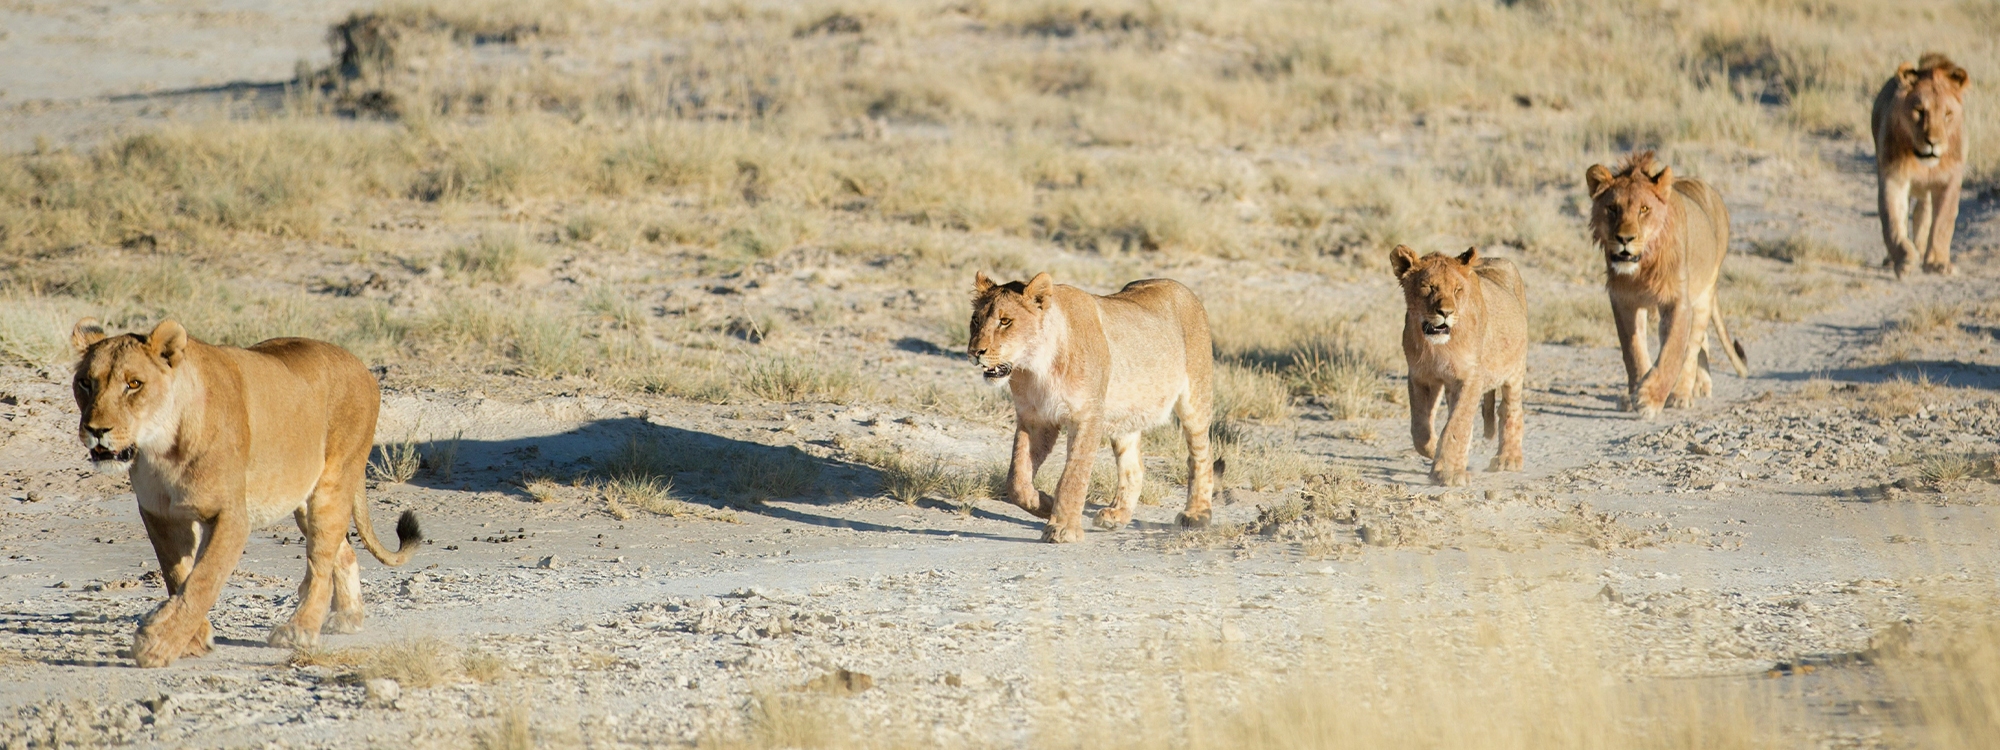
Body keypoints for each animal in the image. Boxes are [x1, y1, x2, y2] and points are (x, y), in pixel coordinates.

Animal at [69, 318, 422, 668]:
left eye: (134, 384)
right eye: (85, 383)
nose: (96, 430)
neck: (161, 449)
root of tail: (362, 367)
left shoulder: (231, 516)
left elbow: (203, 580)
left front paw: (158, 643)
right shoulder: (160, 515)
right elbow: (177, 576)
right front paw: (194, 638)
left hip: (333, 484)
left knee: (320, 565)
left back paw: (299, 630)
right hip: (302, 501)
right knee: (344, 552)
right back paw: (348, 616)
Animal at [968, 274, 1216, 544]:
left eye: (1005, 321)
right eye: (976, 320)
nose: (974, 352)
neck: (1036, 367)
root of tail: (1179, 285)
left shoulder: (1087, 416)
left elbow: (1073, 474)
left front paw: (1063, 528)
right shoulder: (1035, 419)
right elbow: (1017, 480)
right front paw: (1046, 503)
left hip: (1196, 398)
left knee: (1202, 456)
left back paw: (1197, 515)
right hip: (1125, 415)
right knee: (1135, 467)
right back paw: (1117, 515)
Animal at [1392, 244, 1528, 484]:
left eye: (1457, 290)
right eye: (1428, 287)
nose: (1446, 312)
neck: (1437, 346)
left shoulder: (1471, 377)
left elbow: (1457, 424)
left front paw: (1449, 472)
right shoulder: (1421, 376)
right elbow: (1420, 429)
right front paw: (1435, 451)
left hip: (1515, 369)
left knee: (1510, 409)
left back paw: (1508, 459)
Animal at [1584, 151, 1744, 424]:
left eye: (1644, 209)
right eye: (1612, 208)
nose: (1624, 239)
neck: (1642, 268)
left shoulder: (1677, 300)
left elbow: (1673, 351)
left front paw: (1649, 399)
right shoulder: (1624, 300)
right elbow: (1634, 350)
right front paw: (1635, 391)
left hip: (1703, 295)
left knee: (1692, 345)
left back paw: (1682, 393)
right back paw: (1699, 385)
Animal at [1872, 53, 1968, 280]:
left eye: (1947, 114)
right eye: (1919, 111)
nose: (1933, 142)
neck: (1924, 165)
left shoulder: (1949, 180)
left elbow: (1942, 223)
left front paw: (1938, 263)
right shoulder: (1893, 177)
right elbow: (1892, 221)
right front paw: (1905, 260)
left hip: (1926, 192)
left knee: (1923, 214)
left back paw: (1921, 247)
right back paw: (1894, 258)